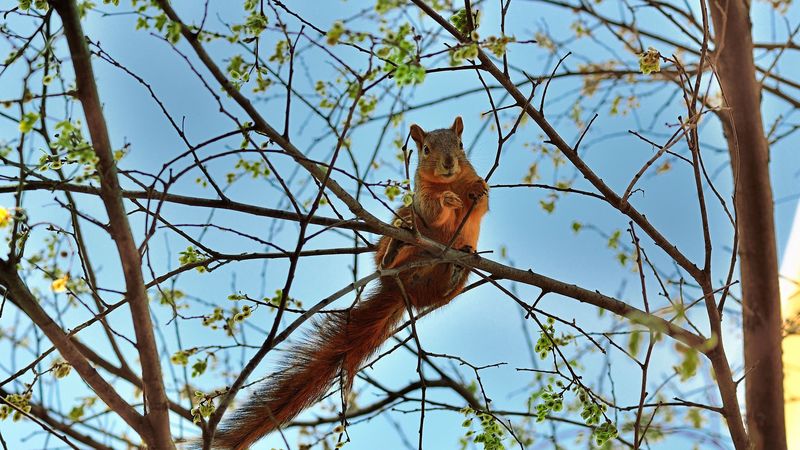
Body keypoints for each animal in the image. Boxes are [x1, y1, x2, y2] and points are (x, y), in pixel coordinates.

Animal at [211, 116, 489, 450]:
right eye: (425, 149)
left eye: (460, 145)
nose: (448, 163)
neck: (449, 182)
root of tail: (401, 289)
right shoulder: (420, 200)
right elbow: (433, 212)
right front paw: (447, 200)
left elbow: (481, 204)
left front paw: (478, 187)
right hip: (401, 225)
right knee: (393, 249)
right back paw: (394, 251)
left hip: (453, 277)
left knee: (446, 285)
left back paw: (454, 272)